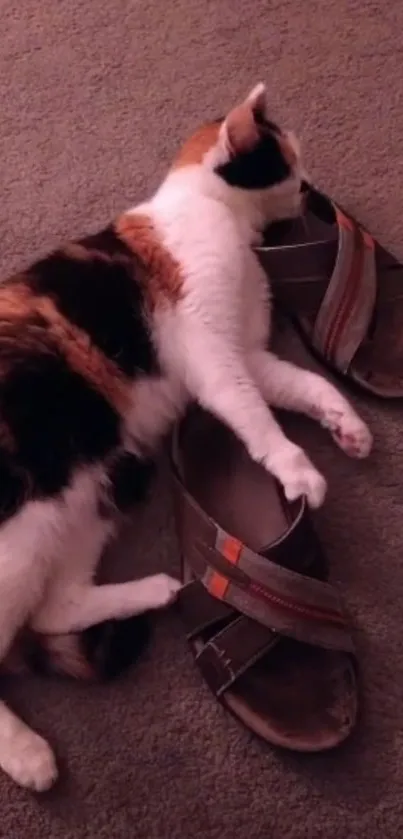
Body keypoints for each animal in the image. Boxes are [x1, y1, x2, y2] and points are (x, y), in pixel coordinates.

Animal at [0, 82, 372, 792]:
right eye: (290, 164)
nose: (313, 191)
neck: (217, 216)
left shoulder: (248, 352)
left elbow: (302, 385)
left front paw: (347, 426)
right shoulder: (214, 355)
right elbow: (255, 417)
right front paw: (299, 472)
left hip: (92, 496)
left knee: (51, 609)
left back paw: (156, 591)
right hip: (22, 534)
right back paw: (27, 753)